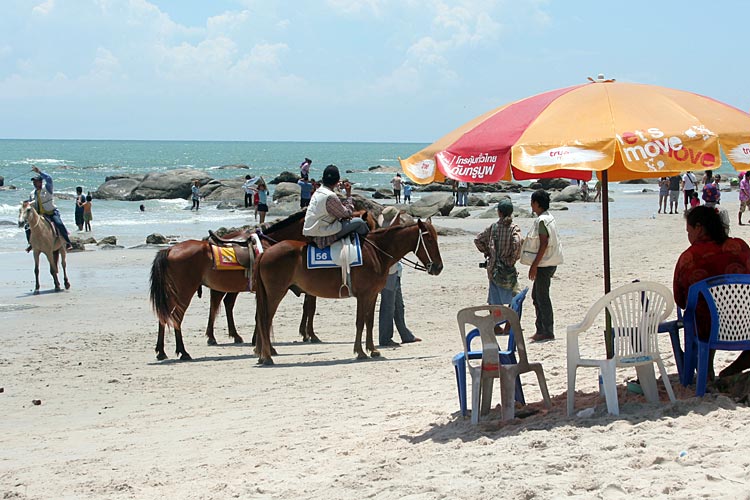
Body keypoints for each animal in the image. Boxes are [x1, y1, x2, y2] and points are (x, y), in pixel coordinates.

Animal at [256, 221, 444, 366]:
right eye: (428, 239)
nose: (438, 267)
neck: (376, 252)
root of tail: (265, 252)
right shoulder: (363, 295)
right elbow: (360, 322)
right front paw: (360, 352)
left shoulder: (373, 295)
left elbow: (369, 322)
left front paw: (372, 350)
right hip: (275, 294)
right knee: (264, 321)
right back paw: (267, 356)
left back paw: (264, 355)